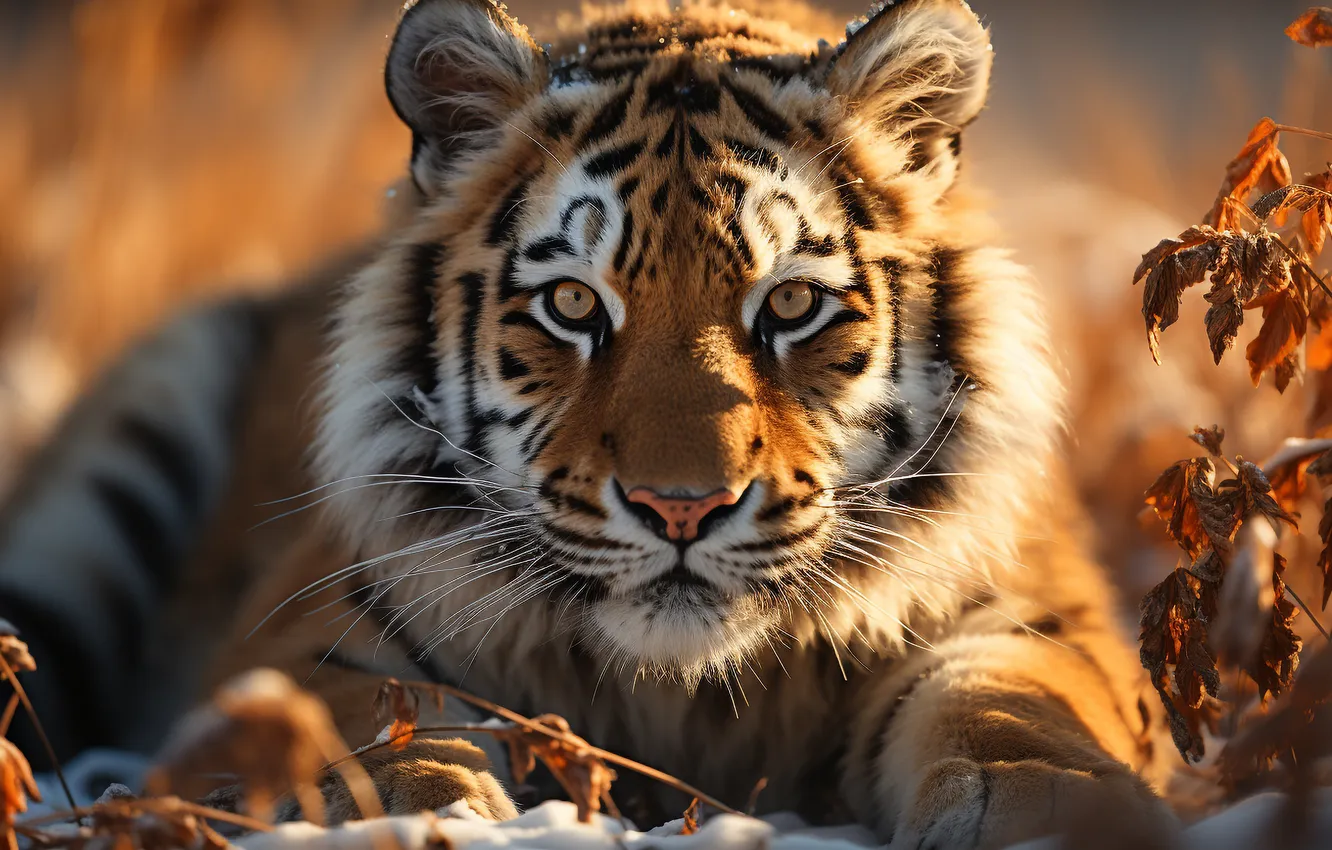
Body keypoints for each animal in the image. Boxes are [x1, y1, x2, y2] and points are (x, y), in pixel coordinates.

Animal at [0, 0, 1180, 846]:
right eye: (574, 304)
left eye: (790, 305)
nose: (682, 507)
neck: (686, 695)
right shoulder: (317, 626)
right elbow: (373, 731)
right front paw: (422, 817)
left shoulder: (1023, 607)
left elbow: (1016, 710)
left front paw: (1050, 817)